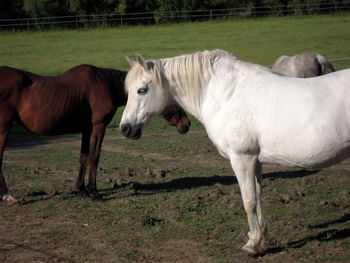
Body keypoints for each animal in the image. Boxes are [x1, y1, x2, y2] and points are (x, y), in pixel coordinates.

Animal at [0, 64, 191, 204]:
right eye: (174, 97)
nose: (186, 124)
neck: (105, 84)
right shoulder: (99, 126)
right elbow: (94, 156)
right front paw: (94, 192)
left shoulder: (87, 129)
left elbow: (83, 157)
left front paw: (80, 189)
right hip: (4, 127)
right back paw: (7, 195)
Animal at [119, 49, 350, 256]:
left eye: (142, 90)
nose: (125, 128)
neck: (226, 94)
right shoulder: (256, 160)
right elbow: (258, 196)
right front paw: (261, 238)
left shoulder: (242, 159)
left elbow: (249, 201)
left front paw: (252, 245)